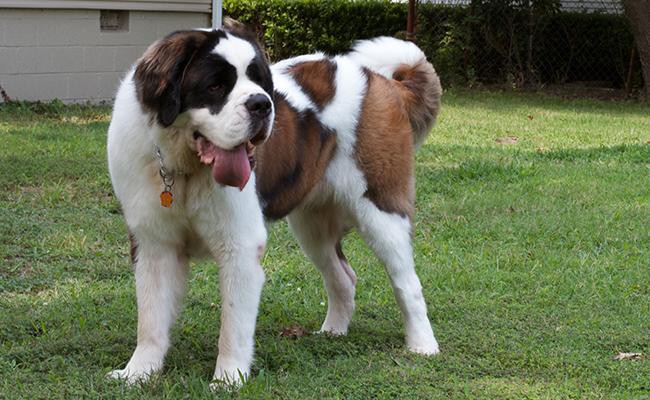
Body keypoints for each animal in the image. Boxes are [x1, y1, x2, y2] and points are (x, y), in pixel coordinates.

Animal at [107, 19, 440, 388]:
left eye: (259, 81)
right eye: (215, 86)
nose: (262, 104)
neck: (185, 167)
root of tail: (380, 80)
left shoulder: (240, 247)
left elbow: (233, 324)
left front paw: (227, 380)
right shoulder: (154, 245)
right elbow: (151, 318)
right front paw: (138, 372)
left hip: (382, 210)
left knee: (407, 283)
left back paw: (423, 345)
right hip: (312, 226)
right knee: (342, 276)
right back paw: (333, 331)